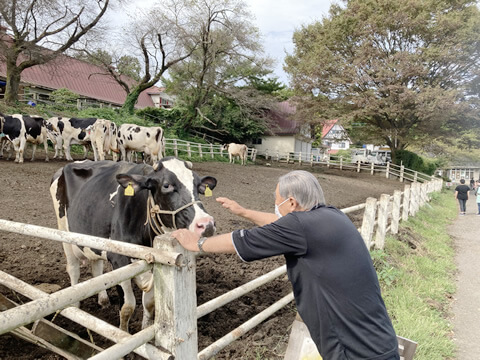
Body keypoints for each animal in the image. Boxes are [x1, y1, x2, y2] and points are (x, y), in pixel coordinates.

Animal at [49, 156, 217, 330]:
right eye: (166, 185)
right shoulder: (118, 259)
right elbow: (127, 307)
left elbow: (149, 303)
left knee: (96, 266)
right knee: (73, 269)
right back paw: (74, 306)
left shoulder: (155, 262)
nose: (206, 224)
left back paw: (103, 300)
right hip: (65, 235)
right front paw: (124, 332)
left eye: (198, 186)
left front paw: (145, 329)